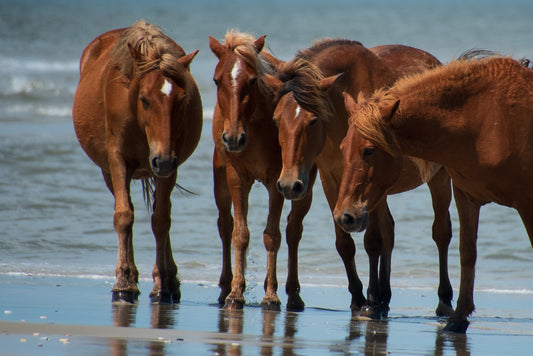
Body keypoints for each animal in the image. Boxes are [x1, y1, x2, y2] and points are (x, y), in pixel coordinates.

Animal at [72, 20, 202, 304]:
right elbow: (124, 216)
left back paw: (170, 279)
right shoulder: (118, 161)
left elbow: (161, 219)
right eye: (145, 99)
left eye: (182, 99)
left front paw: (163, 283)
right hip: (111, 171)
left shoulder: (169, 166)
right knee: (126, 210)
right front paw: (124, 282)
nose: (162, 159)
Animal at [209, 31, 316, 312]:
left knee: (293, 231)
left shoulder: (276, 183)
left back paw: (293, 294)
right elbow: (240, 234)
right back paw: (224, 288)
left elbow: (272, 236)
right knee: (225, 225)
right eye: (216, 80)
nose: (233, 138)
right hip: (220, 182)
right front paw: (236, 293)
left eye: (252, 80)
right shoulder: (237, 180)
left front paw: (270, 295)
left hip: (303, 189)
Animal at [264, 39, 450, 318]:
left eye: (313, 120)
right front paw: (358, 296)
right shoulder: (332, 180)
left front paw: (371, 300)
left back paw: (442, 300)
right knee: (390, 230)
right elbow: (345, 242)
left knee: (441, 232)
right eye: (276, 120)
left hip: (438, 177)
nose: (288, 185)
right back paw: (385, 295)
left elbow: (372, 240)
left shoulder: (374, 183)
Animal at [336, 55, 532, 330]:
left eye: (369, 150)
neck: (488, 120)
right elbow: (467, 252)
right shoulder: (466, 197)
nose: (345, 217)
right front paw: (458, 319)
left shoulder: (527, 203)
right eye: (343, 148)